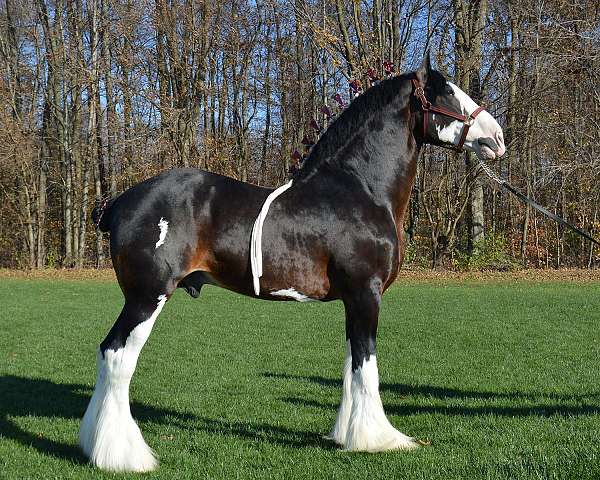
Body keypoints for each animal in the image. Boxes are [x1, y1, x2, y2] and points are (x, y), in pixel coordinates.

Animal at [81, 54, 506, 470]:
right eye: (448, 92)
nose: (497, 137)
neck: (360, 190)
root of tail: (119, 203)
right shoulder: (366, 294)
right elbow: (366, 366)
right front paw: (378, 439)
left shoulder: (352, 301)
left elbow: (351, 363)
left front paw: (346, 435)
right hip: (146, 298)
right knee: (117, 356)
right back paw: (125, 457)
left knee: (105, 354)